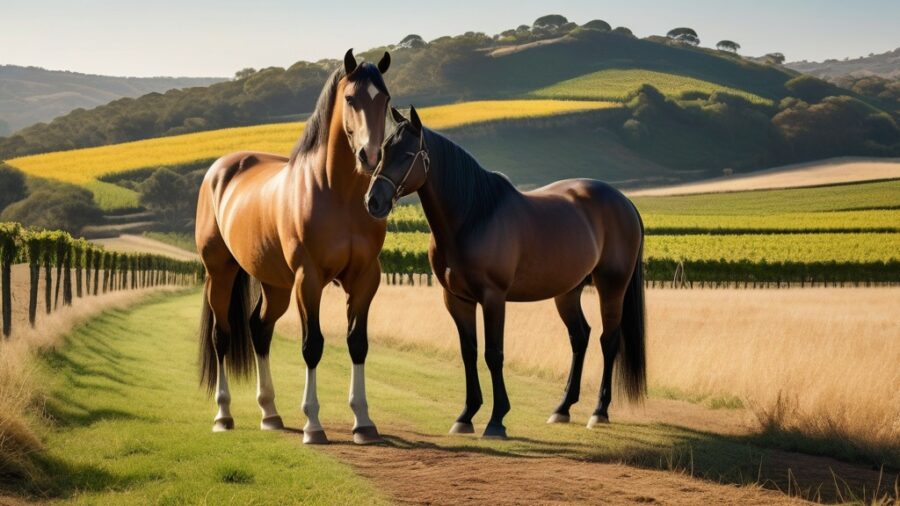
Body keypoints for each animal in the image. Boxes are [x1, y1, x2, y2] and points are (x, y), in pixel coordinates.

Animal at [195, 49, 392, 445]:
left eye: (386, 100)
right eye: (351, 99)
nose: (370, 156)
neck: (337, 193)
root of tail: (218, 171)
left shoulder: (366, 278)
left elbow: (357, 343)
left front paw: (363, 422)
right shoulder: (309, 279)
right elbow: (312, 345)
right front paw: (313, 425)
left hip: (276, 286)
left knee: (259, 329)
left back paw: (270, 413)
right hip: (220, 273)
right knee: (222, 336)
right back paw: (223, 415)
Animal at [364, 107, 647, 439]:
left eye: (408, 154)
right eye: (384, 150)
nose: (373, 201)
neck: (472, 217)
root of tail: (624, 201)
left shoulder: (493, 298)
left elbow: (493, 354)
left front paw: (496, 420)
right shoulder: (456, 299)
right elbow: (469, 353)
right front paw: (466, 415)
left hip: (611, 287)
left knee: (608, 341)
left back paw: (599, 412)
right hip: (568, 292)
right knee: (580, 338)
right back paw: (562, 408)